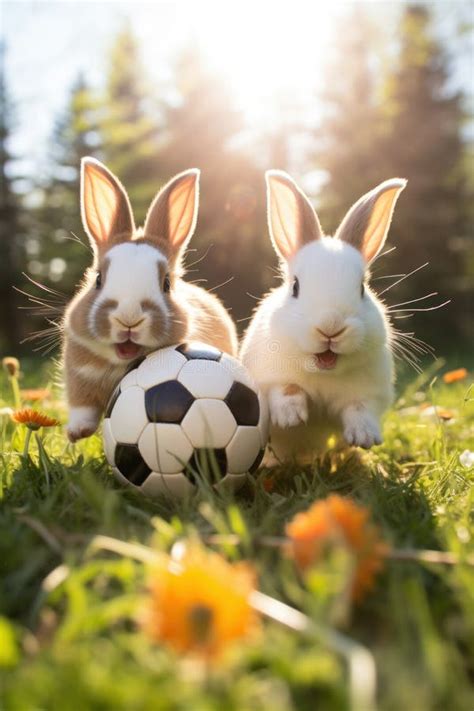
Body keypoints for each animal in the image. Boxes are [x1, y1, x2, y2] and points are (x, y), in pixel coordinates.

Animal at [63, 159, 239, 442]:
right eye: (98, 279)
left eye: (166, 284)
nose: (129, 319)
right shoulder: (80, 376)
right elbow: (83, 407)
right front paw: (77, 433)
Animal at [241, 170, 408, 464]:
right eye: (295, 287)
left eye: (362, 288)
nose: (330, 327)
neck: (322, 372)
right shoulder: (268, 377)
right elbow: (285, 389)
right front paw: (291, 417)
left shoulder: (369, 394)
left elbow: (359, 408)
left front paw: (364, 437)